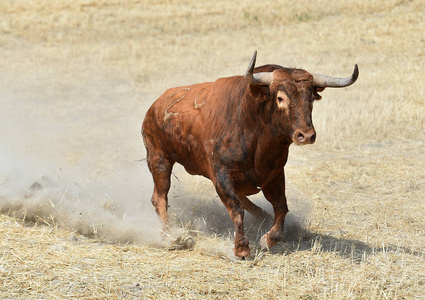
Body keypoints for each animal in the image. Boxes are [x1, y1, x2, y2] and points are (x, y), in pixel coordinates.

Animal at [142, 51, 358, 258]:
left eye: (311, 98)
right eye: (280, 98)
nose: (306, 135)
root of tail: (155, 105)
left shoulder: (275, 175)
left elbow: (281, 207)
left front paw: (269, 238)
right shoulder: (222, 174)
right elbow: (236, 209)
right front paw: (241, 248)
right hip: (159, 159)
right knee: (160, 197)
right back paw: (170, 237)